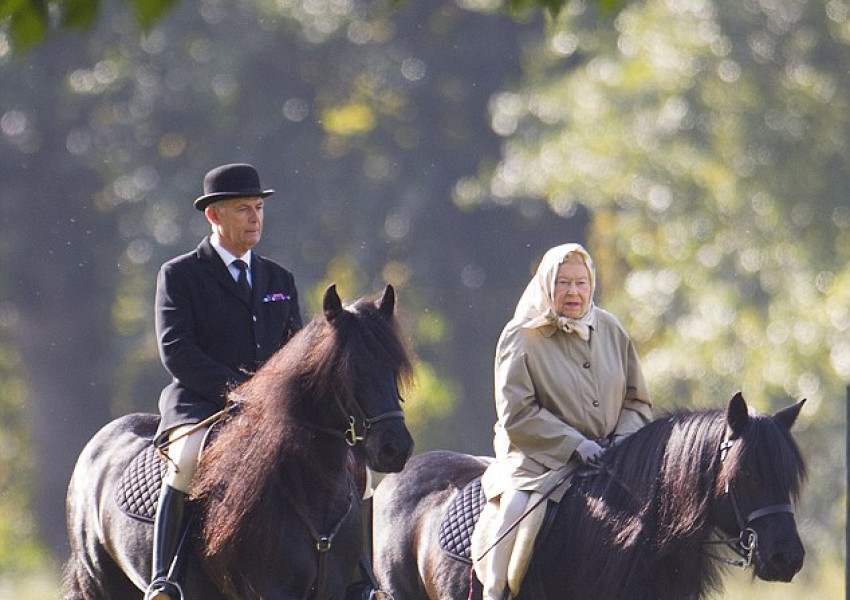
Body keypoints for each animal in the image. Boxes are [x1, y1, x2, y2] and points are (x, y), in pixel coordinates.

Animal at [63, 286, 414, 600]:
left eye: (394, 366)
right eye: (348, 369)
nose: (395, 449)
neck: (311, 491)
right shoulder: (274, 592)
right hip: (100, 583)